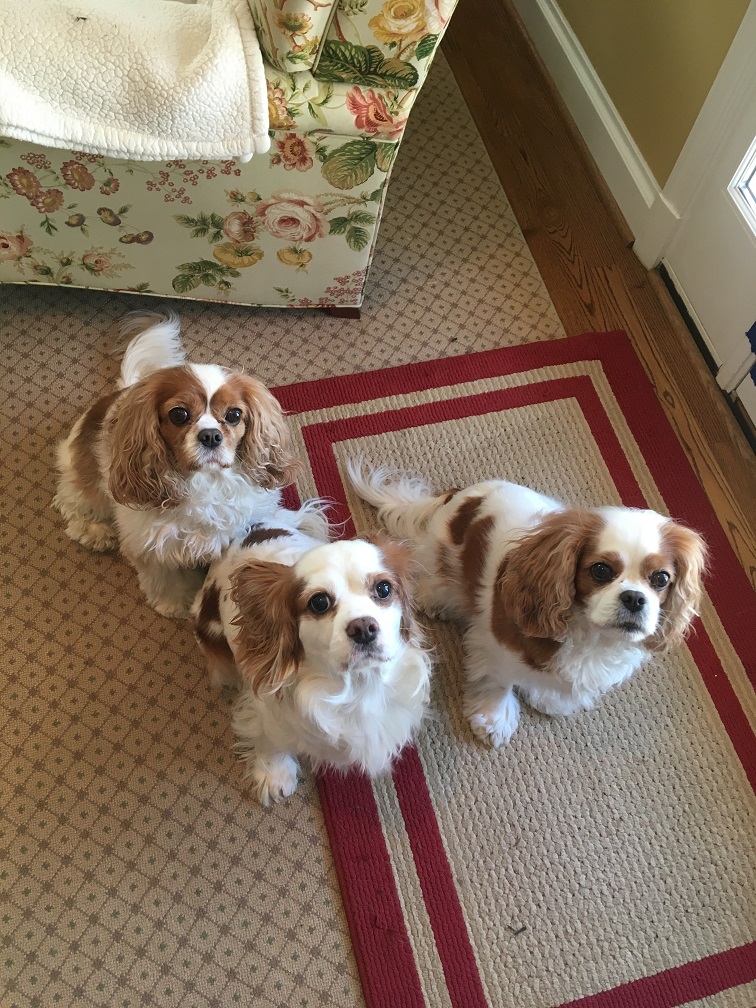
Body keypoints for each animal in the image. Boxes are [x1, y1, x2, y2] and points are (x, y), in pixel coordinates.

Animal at [53, 311, 299, 617]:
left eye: (234, 415)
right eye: (179, 414)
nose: (211, 435)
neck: (206, 480)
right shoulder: (154, 547)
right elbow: (166, 579)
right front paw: (176, 604)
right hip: (79, 474)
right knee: (76, 502)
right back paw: (94, 530)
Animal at [192, 504, 431, 805]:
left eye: (383, 589)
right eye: (319, 602)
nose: (363, 627)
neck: (355, 685)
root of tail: (253, 527)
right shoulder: (266, 701)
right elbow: (269, 736)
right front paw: (274, 773)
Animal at [347, 461, 707, 746]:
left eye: (660, 579)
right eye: (601, 570)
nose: (634, 598)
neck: (590, 633)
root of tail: (460, 494)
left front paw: (549, 698)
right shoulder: (493, 642)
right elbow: (499, 678)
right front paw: (493, 718)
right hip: (439, 563)